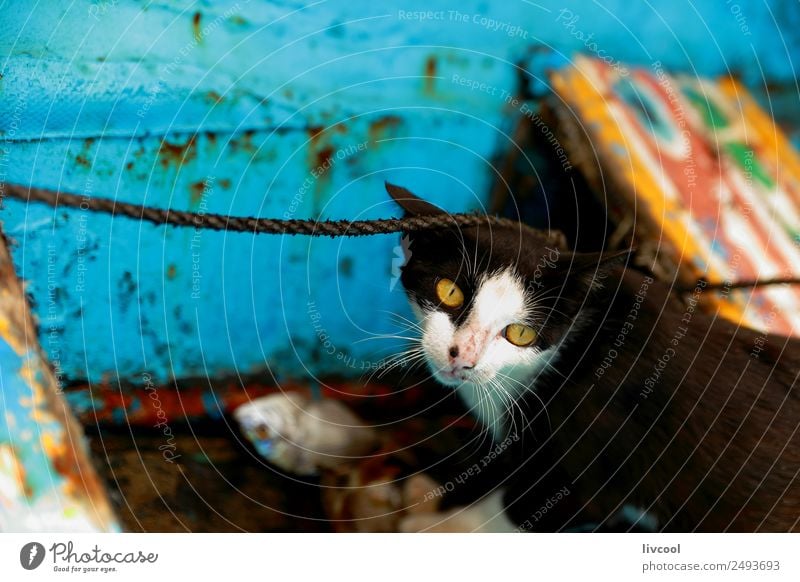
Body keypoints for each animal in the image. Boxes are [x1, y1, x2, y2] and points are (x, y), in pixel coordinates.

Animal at [386, 185, 800, 536]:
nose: (463, 357)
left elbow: (519, 508)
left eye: (520, 334)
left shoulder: (598, 460)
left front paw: (447, 527)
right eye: (450, 292)